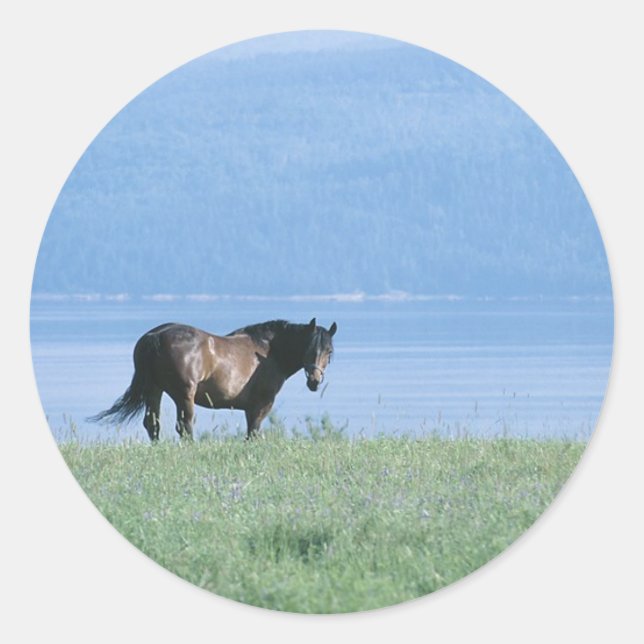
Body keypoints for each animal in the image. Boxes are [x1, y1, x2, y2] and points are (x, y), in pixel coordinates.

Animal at [89, 317, 337, 440]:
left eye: (329, 352)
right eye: (309, 348)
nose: (314, 381)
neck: (268, 352)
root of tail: (155, 336)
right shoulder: (260, 406)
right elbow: (253, 434)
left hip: (154, 390)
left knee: (153, 424)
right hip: (183, 396)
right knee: (185, 426)